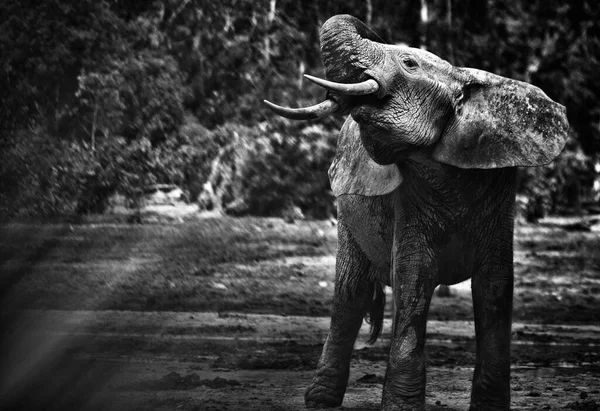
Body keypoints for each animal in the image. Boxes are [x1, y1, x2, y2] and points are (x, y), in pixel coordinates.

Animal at [264, 14, 568, 410]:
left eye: (409, 63)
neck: (460, 76)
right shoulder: (410, 197)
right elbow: (414, 277)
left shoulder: (499, 190)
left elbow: (496, 286)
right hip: (347, 213)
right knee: (350, 294)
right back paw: (319, 401)